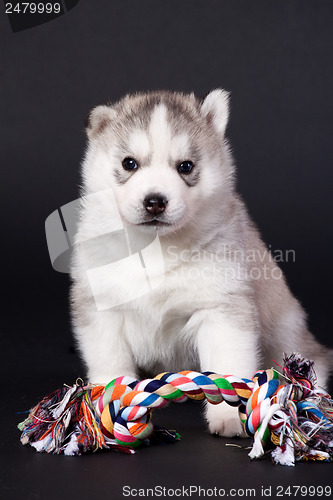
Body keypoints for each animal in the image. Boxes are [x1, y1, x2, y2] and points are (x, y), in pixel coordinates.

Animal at [69, 91, 330, 438]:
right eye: (129, 163)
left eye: (186, 166)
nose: (155, 201)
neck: (156, 248)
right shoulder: (102, 309)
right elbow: (110, 362)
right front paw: (104, 410)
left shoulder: (221, 309)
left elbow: (227, 365)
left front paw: (229, 415)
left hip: (283, 329)